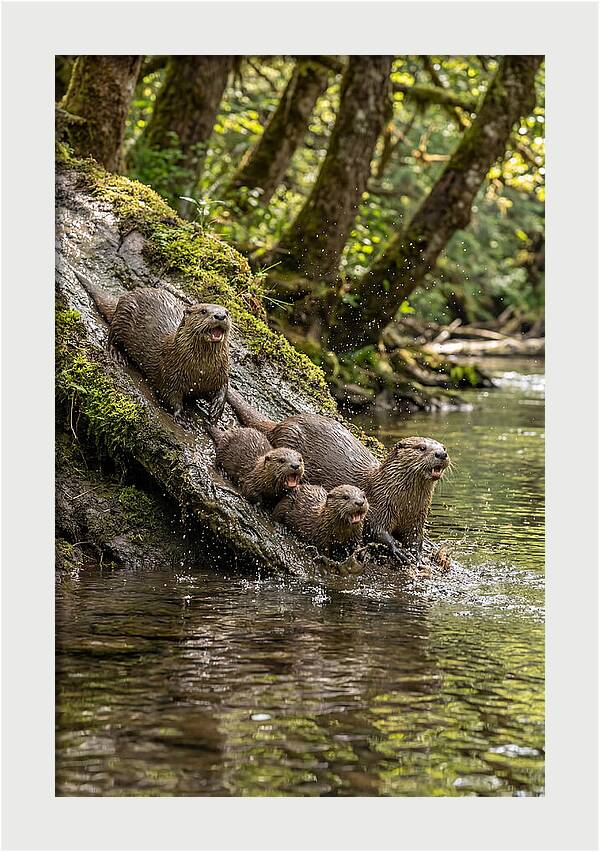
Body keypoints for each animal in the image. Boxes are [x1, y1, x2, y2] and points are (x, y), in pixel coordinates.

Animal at [75, 271, 230, 423]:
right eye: (203, 311)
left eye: (227, 312)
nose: (220, 315)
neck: (200, 371)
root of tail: (127, 295)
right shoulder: (170, 373)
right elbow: (170, 395)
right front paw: (182, 415)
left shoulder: (220, 372)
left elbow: (224, 387)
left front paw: (217, 408)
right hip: (123, 316)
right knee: (112, 335)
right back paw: (117, 354)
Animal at [226, 388, 450, 558]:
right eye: (422, 448)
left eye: (443, 446)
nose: (441, 453)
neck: (405, 503)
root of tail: (281, 424)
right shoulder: (379, 506)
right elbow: (377, 530)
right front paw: (398, 550)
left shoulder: (417, 518)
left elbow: (416, 538)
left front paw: (417, 554)